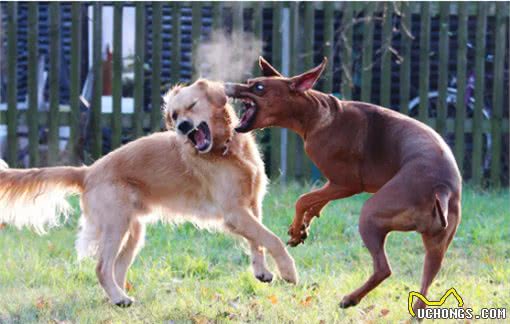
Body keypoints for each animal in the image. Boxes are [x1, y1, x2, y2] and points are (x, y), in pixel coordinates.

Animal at [0, 79, 296, 308]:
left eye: (191, 106)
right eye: (174, 116)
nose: (183, 127)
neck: (226, 150)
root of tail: (88, 171)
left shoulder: (251, 206)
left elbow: (258, 241)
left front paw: (262, 271)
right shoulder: (235, 212)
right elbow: (272, 239)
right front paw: (288, 271)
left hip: (133, 232)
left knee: (117, 268)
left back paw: (118, 298)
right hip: (115, 225)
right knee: (102, 267)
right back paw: (119, 298)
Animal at [225, 57, 460, 312]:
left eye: (259, 87)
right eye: (249, 82)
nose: (227, 85)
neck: (317, 115)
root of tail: (441, 188)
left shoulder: (348, 184)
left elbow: (303, 200)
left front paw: (297, 229)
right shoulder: (334, 184)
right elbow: (317, 201)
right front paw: (303, 227)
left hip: (371, 214)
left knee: (383, 269)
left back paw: (350, 299)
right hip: (436, 246)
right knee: (425, 284)